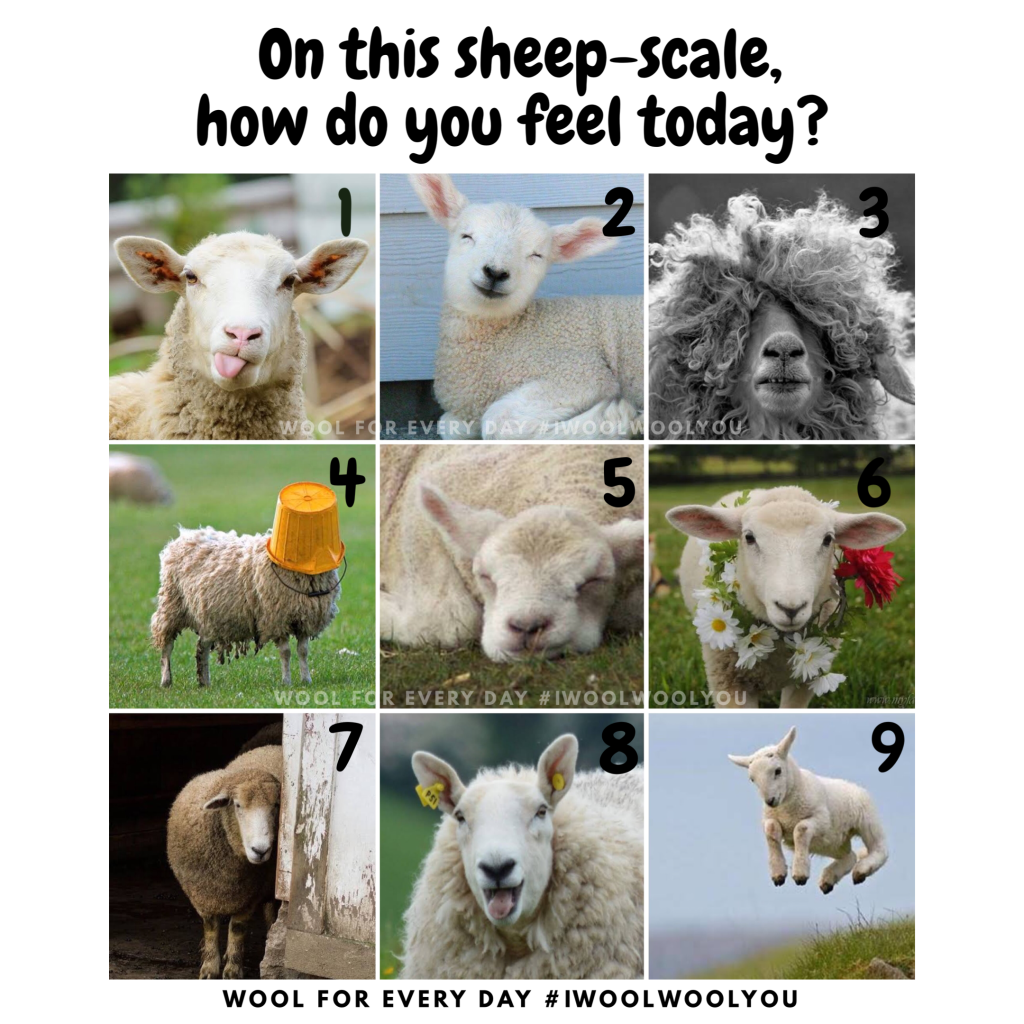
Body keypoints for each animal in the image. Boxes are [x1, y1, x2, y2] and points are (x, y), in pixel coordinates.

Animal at [151, 526, 338, 688]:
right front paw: (286, 681)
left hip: (208, 616)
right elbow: (286, 652)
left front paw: (306, 680)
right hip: (172, 604)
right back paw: (166, 680)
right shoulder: (276, 619)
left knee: (201, 647)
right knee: (167, 645)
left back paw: (204, 682)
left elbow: (303, 651)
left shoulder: (304, 619)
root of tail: (186, 535)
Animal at [167, 743, 283, 979]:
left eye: (276, 805)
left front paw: (232, 971)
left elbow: (237, 930)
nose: (260, 850)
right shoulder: (205, 894)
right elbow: (211, 928)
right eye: (237, 805)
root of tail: (272, 746)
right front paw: (209, 968)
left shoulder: (249, 896)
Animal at [409, 174, 644, 440]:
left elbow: (497, 421)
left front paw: (614, 419)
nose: (496, 272)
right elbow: (449, 425)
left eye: (536, 255)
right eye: (466, 236)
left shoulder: (580, 372)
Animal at [729, 726, 888, 894]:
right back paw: (829, 880)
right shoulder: (769, 818)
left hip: (866, 819)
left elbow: (801, 829)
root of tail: (853, 785)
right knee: (850, 856)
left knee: (880, 849)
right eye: (752, 779)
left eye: (778, 771)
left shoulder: (822, 820)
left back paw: (861, 870)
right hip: (831, 843)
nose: (770, 801)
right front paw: (778, 874)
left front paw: (800, 874)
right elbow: (772, 830)